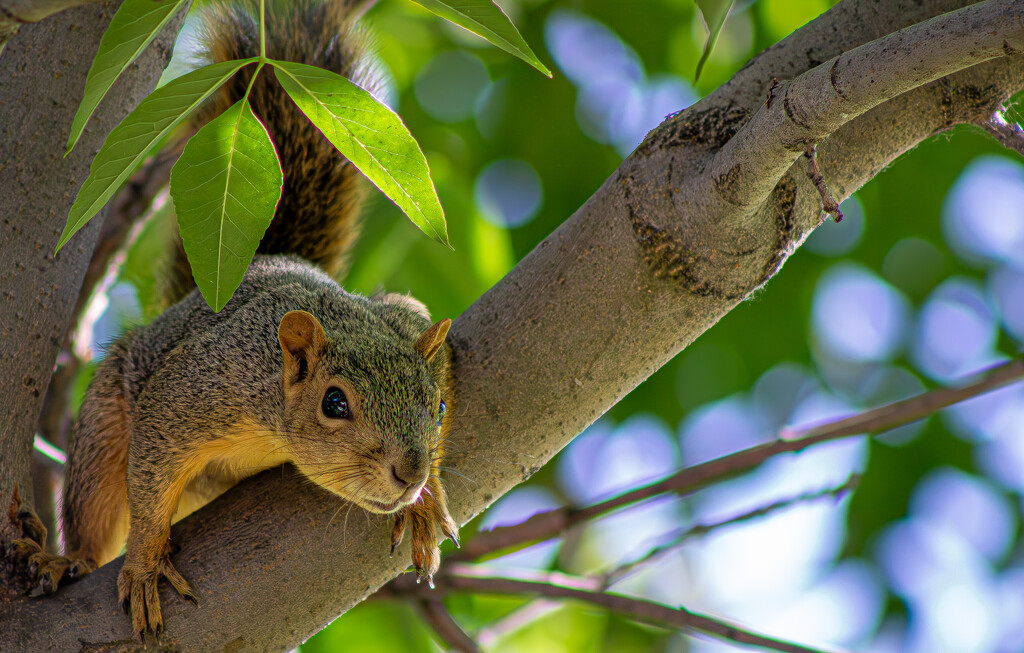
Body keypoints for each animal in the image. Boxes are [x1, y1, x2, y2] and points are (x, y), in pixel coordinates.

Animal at [4, 0, 458, 638]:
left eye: (438, 407)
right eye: (334, 403)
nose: (409, 473)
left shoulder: (406, 318)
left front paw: (428, 502)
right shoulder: (199, 387)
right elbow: (152, 467)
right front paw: (145, 564)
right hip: (101, 431)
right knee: (95, 506)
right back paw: (69, 559)